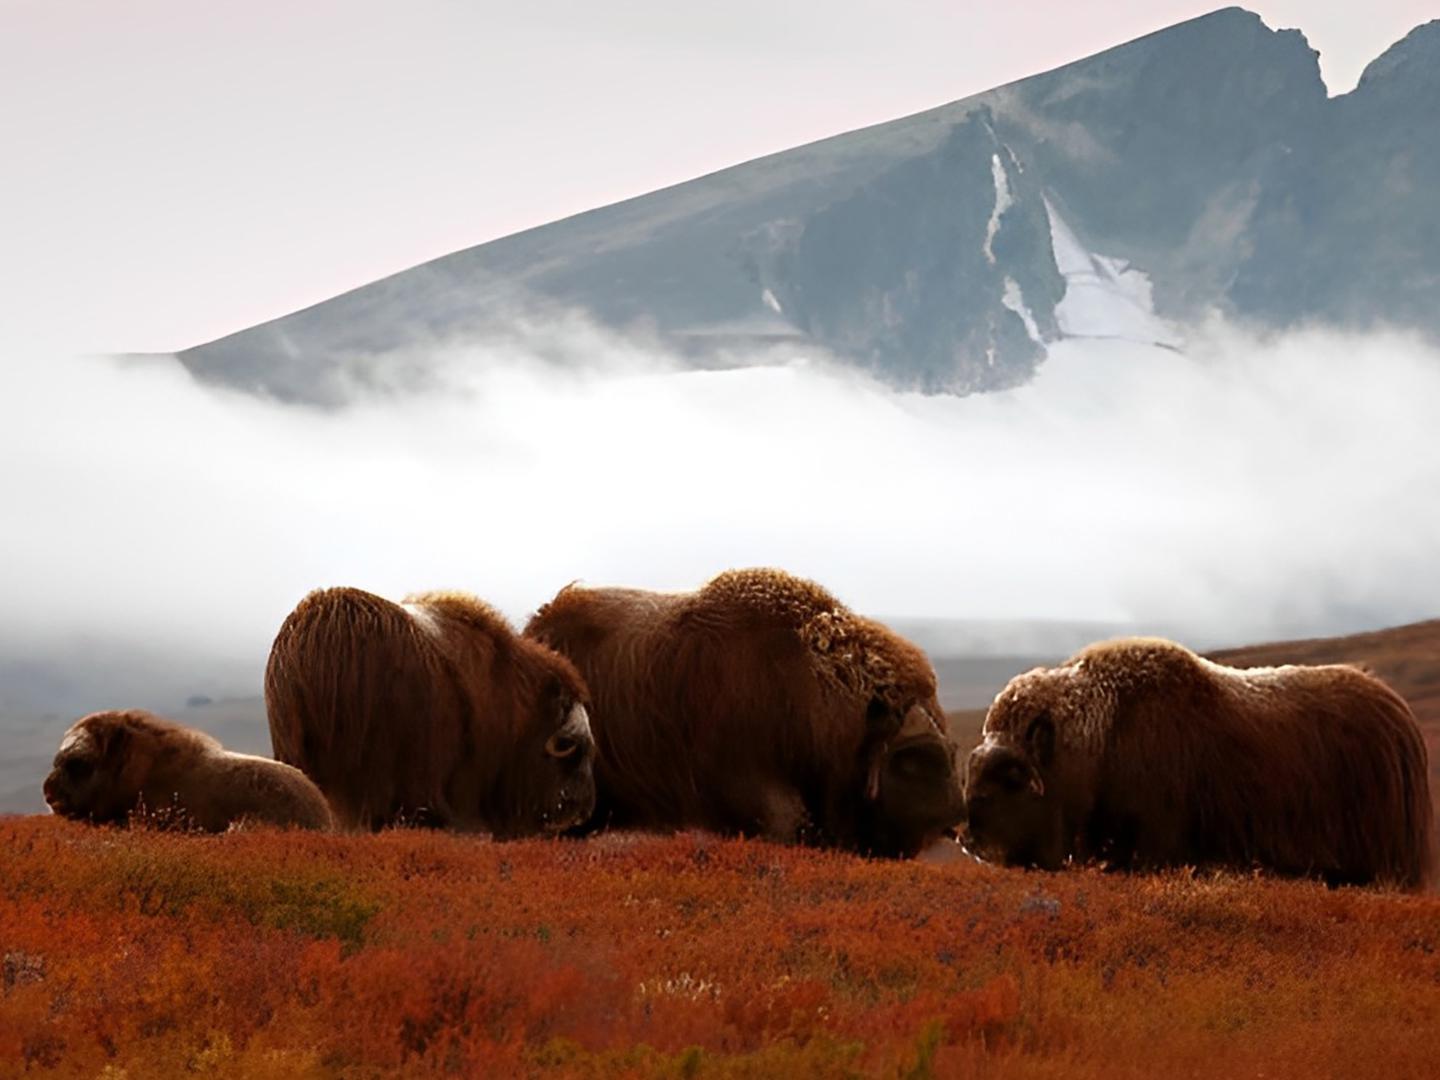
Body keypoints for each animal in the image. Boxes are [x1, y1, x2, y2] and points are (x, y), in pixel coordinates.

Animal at [961, 639, 1434, 892]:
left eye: (1012, 775)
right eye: (973, 767)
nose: (967, 837)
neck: (1098, 742)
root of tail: (1400, 715)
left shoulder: (1154, 846)